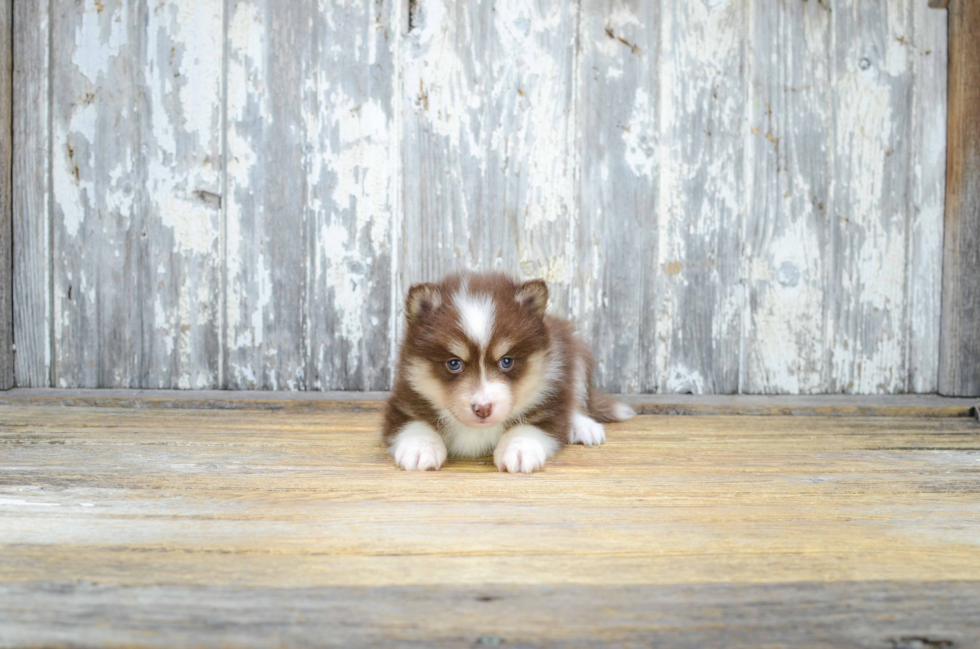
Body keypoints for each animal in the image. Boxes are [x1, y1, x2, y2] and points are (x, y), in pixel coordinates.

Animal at [382, 270, 636, 474]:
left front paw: (519, 449)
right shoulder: (403, 399)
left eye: (506, 361)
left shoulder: (549, 400)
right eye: (454, 363)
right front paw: (419, 447)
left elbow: (529, 426)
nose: (483, 408)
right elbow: (415, 424)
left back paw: (583, 426)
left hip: (575, 353)